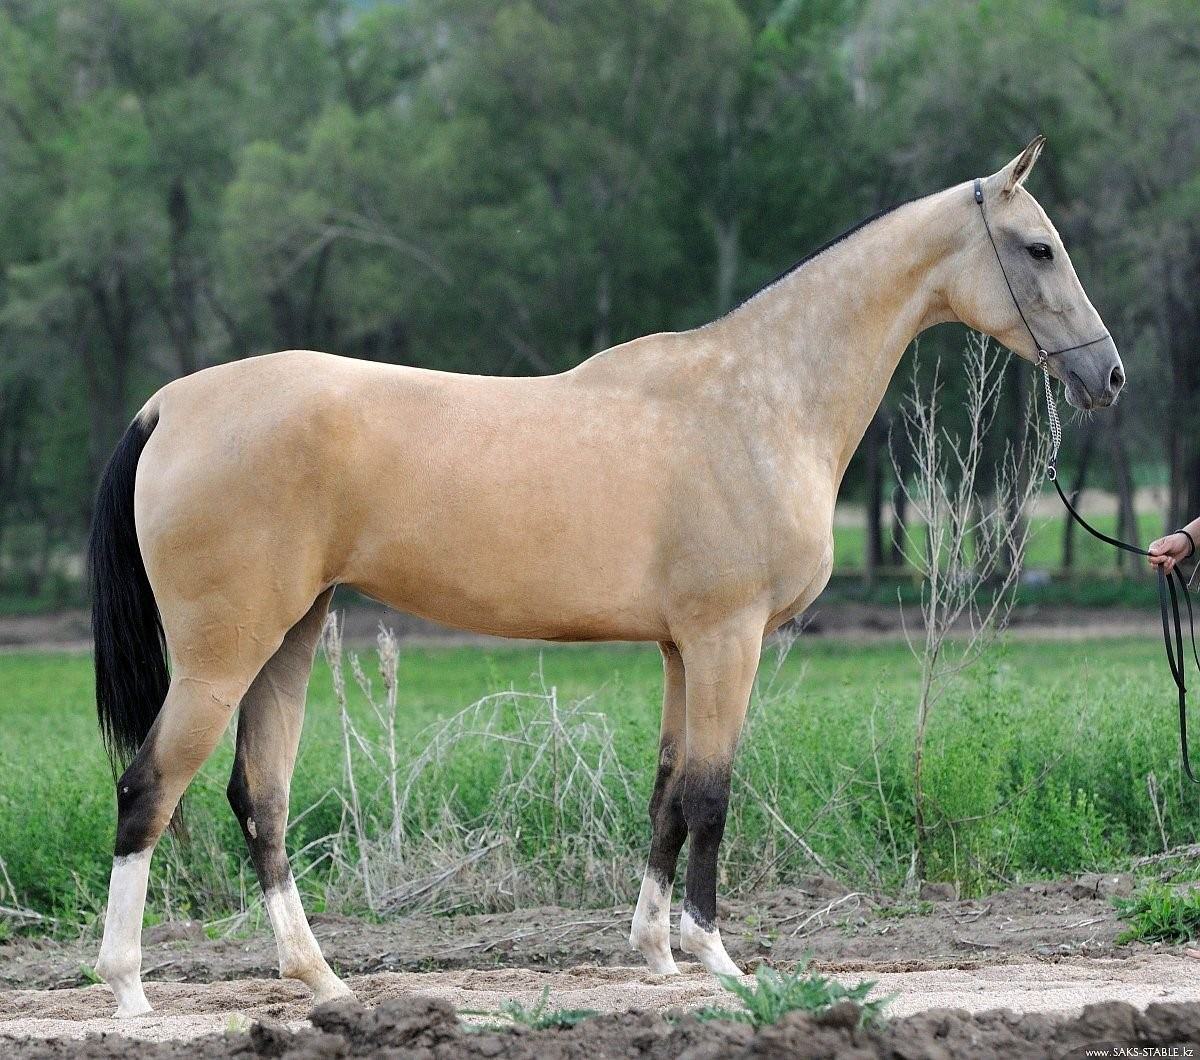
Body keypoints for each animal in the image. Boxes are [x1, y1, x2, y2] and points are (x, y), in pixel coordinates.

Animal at [88, 136, 1118, 1017]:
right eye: (1039, 248)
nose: (1106, 377)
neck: (762, 396)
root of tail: (170, 404)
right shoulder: (726, 638)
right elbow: (712, 794)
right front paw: (715, 955)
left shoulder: (679, 648)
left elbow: (667, 792)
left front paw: (655, 953)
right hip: (222, 657)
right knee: (148, 789)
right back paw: (130, 988)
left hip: (289, 638)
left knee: (258, 801)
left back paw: (320, 980)